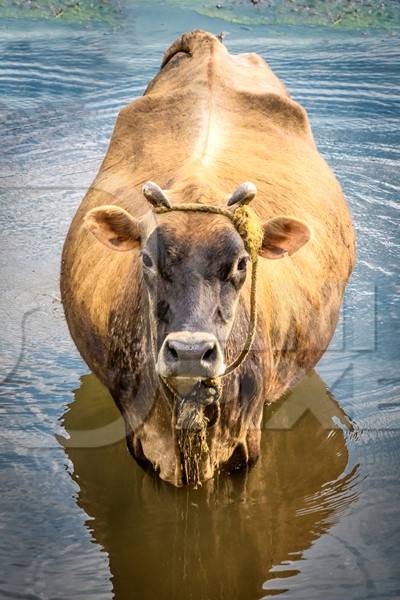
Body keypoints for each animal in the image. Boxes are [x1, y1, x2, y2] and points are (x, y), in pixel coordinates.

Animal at [61, 30, 354, 486]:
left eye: (242, 264)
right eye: (146, 260)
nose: (189, 352)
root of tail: (208, 45)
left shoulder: (245, 440)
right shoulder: (140, 439)